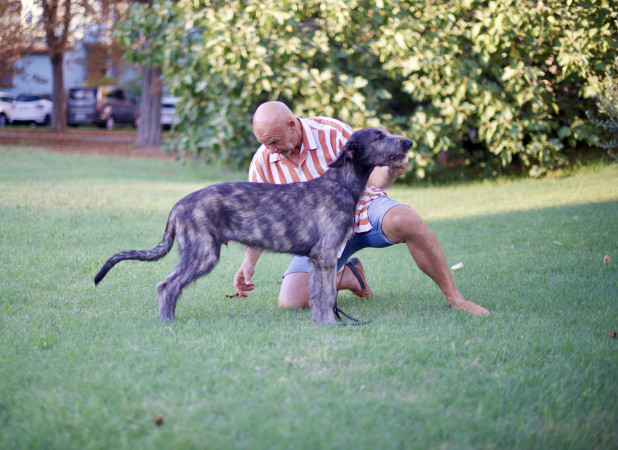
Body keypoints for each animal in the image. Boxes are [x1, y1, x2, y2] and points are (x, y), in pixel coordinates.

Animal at [94, 128, 412, 326]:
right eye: (378, 136)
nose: (408, 142)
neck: (340, 184)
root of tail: (179, 205)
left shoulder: (321, 258)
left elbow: (322, 294)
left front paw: (323, 322)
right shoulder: (325, 255)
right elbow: (324, 295)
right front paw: (330, 324)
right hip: (203, 252)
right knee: (166, 285)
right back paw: (167, 322)